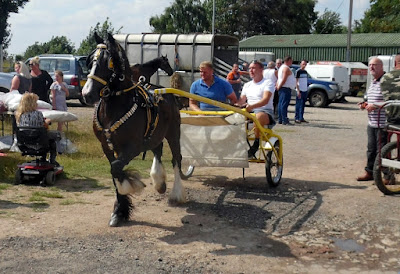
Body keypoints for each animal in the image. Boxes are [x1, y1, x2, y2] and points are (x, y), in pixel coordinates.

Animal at [82, 32, 188, 227]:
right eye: (90, 60)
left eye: (108, 62)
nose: (87, 94)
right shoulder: (106, 146)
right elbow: (114, 171)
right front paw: (119, 211)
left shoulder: (133, 147)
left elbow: (116, 168)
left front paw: (129, 188)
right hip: (155, 136)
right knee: (158, 150)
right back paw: (159, 182)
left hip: (173, 133)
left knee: (176, 159)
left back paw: (176, 193)